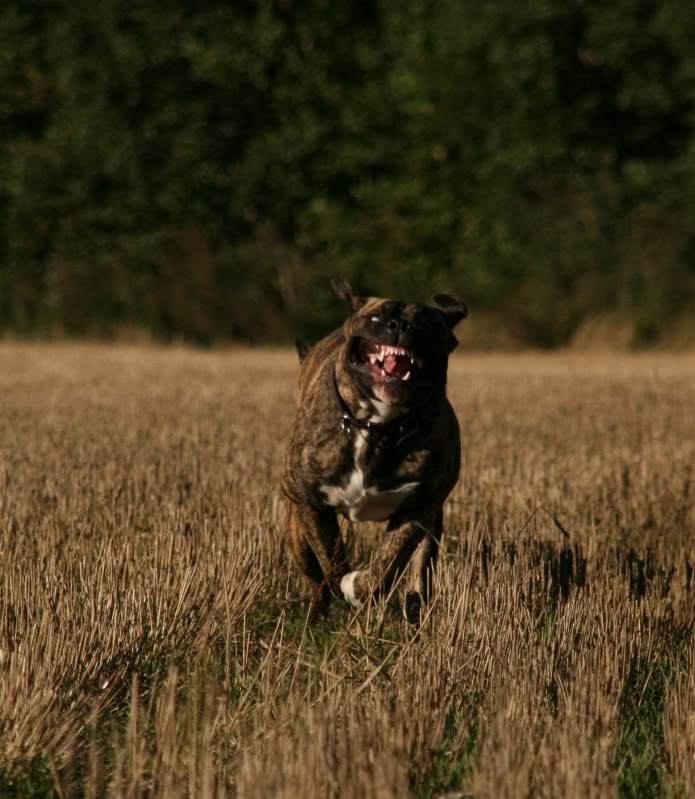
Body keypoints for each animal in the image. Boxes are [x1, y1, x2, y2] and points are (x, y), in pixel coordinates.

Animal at [282, 282, 468, 624]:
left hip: (433, 522)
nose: (401, 326)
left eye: (427, 323)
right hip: (296, 525)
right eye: (377, 318)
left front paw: (358, 587)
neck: (376, 425)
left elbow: (386, 565)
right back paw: (317, 611)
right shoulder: (311, 504)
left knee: (421, 571)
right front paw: (341, 584)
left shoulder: (419, 507)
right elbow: (331, 558)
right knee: (313, 574)